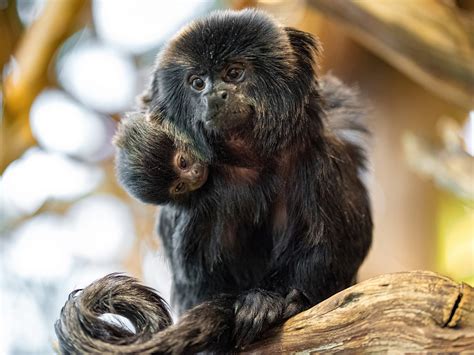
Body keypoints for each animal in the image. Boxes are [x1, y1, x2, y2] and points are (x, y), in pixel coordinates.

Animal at [55, 9, 372, 354]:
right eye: (197, 83)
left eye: (234, 73)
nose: (214, 96)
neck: (254, 164)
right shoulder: (198, 204)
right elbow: (197, 278)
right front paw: (250, 307)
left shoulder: (321, 158)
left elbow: (329, 249)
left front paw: (281, 302)